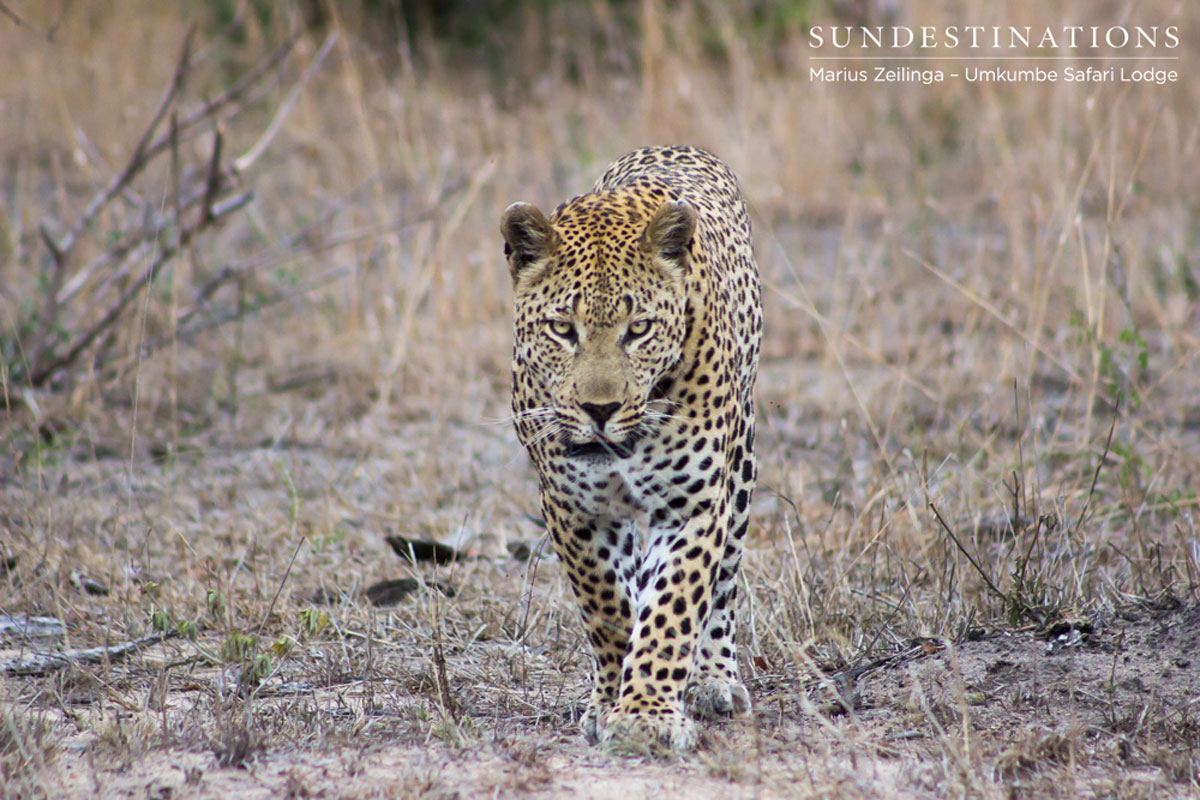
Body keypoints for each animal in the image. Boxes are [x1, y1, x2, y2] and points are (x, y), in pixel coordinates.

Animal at [500, 145, 761, 752]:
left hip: (739, 473)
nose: (600, 410)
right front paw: (613, 698)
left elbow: (672, 608)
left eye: (638, 328)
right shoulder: (571, 508)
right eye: (562, 328)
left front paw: (646, 714)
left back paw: (713, 680)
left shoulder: (693, 504)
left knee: (722, 587)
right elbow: (608, 606)